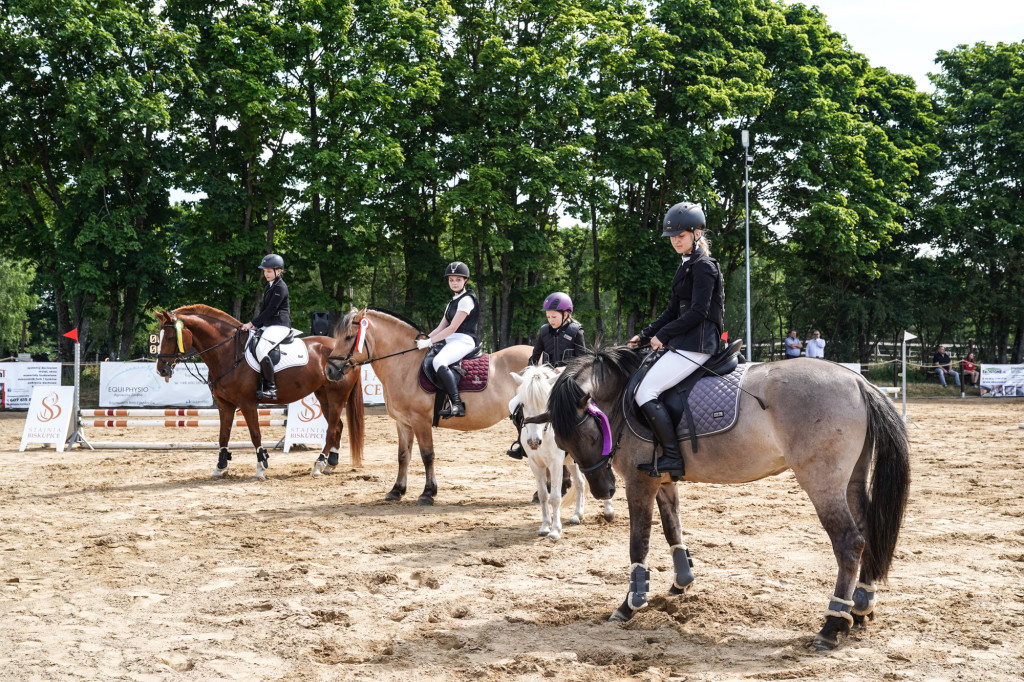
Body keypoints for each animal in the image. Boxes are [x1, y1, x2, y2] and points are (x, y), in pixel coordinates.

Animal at [149, 305, 362, 475]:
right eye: (159, 337)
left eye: (170, 337)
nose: (162, 370)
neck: (227, 351)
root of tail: (348, 354)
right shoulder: (225, 404)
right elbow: (223, 435)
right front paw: (220, 467)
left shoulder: (248, 403)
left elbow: (255, 434)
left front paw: (261, 466)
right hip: (323, 395)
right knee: (337, 426)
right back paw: (330, 463)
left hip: (336, 396)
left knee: (332, 429)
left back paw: (318, 464)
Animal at [325, 305, 536, 501]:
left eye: (349, 337)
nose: (329, 370)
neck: (406, 364)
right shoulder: (403, 422)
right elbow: (403, 456)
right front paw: (397, 490)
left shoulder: (420, 421)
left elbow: (427, 455)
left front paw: (428, 493)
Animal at [509, 360, 610, 536]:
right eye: (523, 404)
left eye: (546, 405)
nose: (534, 442)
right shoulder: (535, 463)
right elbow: (543, 495)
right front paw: (544, 526)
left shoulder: (555, 463)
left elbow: (555, 497)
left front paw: (555, 530)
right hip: (573, 460)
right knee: (580, 483)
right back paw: (577, 515)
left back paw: (609, 511)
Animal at [548, 346, 909, 647]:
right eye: (562, 442)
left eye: (588, 434)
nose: (603, 490)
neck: (625, 395)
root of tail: (857, 381)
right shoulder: (662, 479)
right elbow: (673, 529)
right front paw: (682, 582)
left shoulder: (639, 483)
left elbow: (639, 543)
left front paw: (630, 604)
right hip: (851, 480)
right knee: (866, 531)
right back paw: (860, 607)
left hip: (822, 482)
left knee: (849, 542)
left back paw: (832, 626)